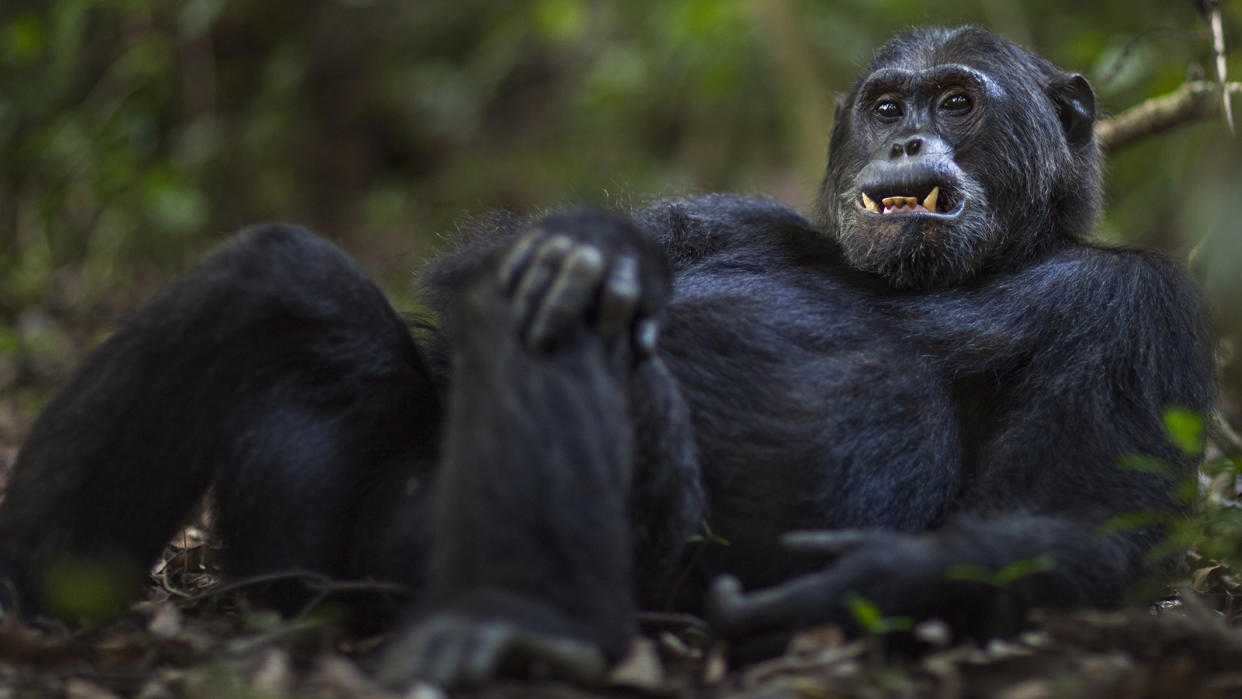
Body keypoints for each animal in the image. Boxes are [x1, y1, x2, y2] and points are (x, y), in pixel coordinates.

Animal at [0, 24, 1217, 685]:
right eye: (886, 106)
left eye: (960, 102)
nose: (911, 136)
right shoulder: (743, 213)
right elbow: (495, 256)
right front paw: (604, 245)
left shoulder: (1144, 307)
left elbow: (1079, 525)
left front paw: (854, 579)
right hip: (314, 561)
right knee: (282, 281)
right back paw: (37, 589)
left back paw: (516, 623)